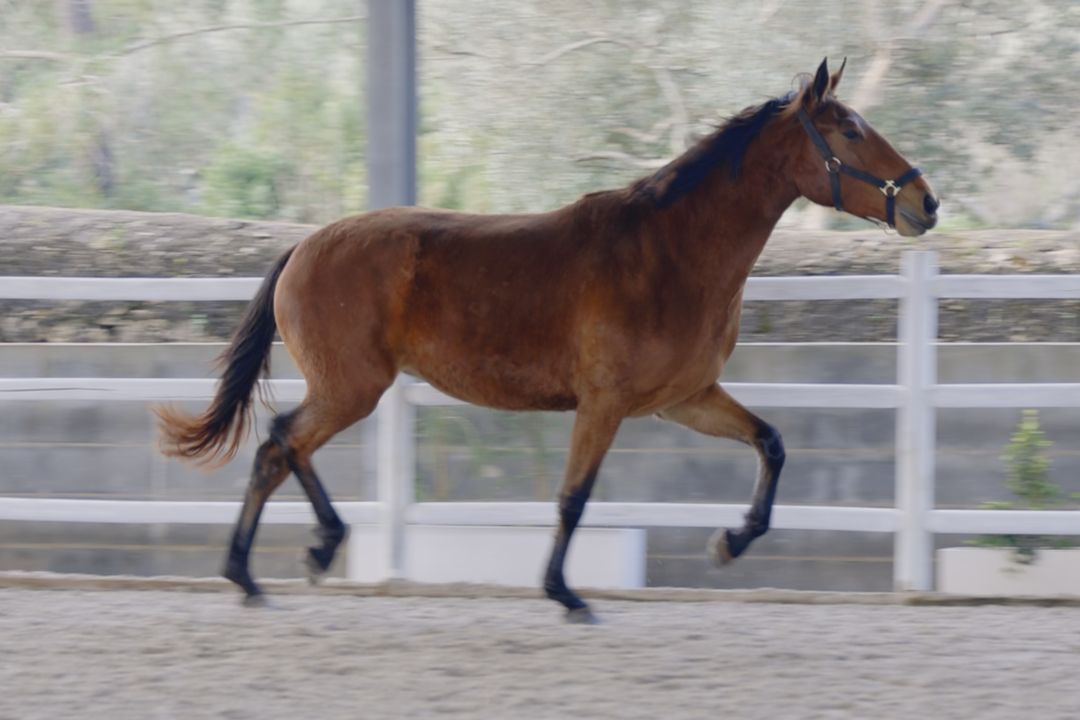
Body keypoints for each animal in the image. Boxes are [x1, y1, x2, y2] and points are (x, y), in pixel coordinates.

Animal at [154, 59, 937, 621]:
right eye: (851, 130)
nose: (926, 202)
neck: (669, 252)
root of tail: (303, 247)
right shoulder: (605, 403)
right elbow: (573, 498)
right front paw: (564, 593)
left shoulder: (683, 398)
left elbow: (771, 444)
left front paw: (730, 541)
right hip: (354, 387)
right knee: (282, 441)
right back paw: (296, 557)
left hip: (352, 388)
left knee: (278, 449)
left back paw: (266, 569)